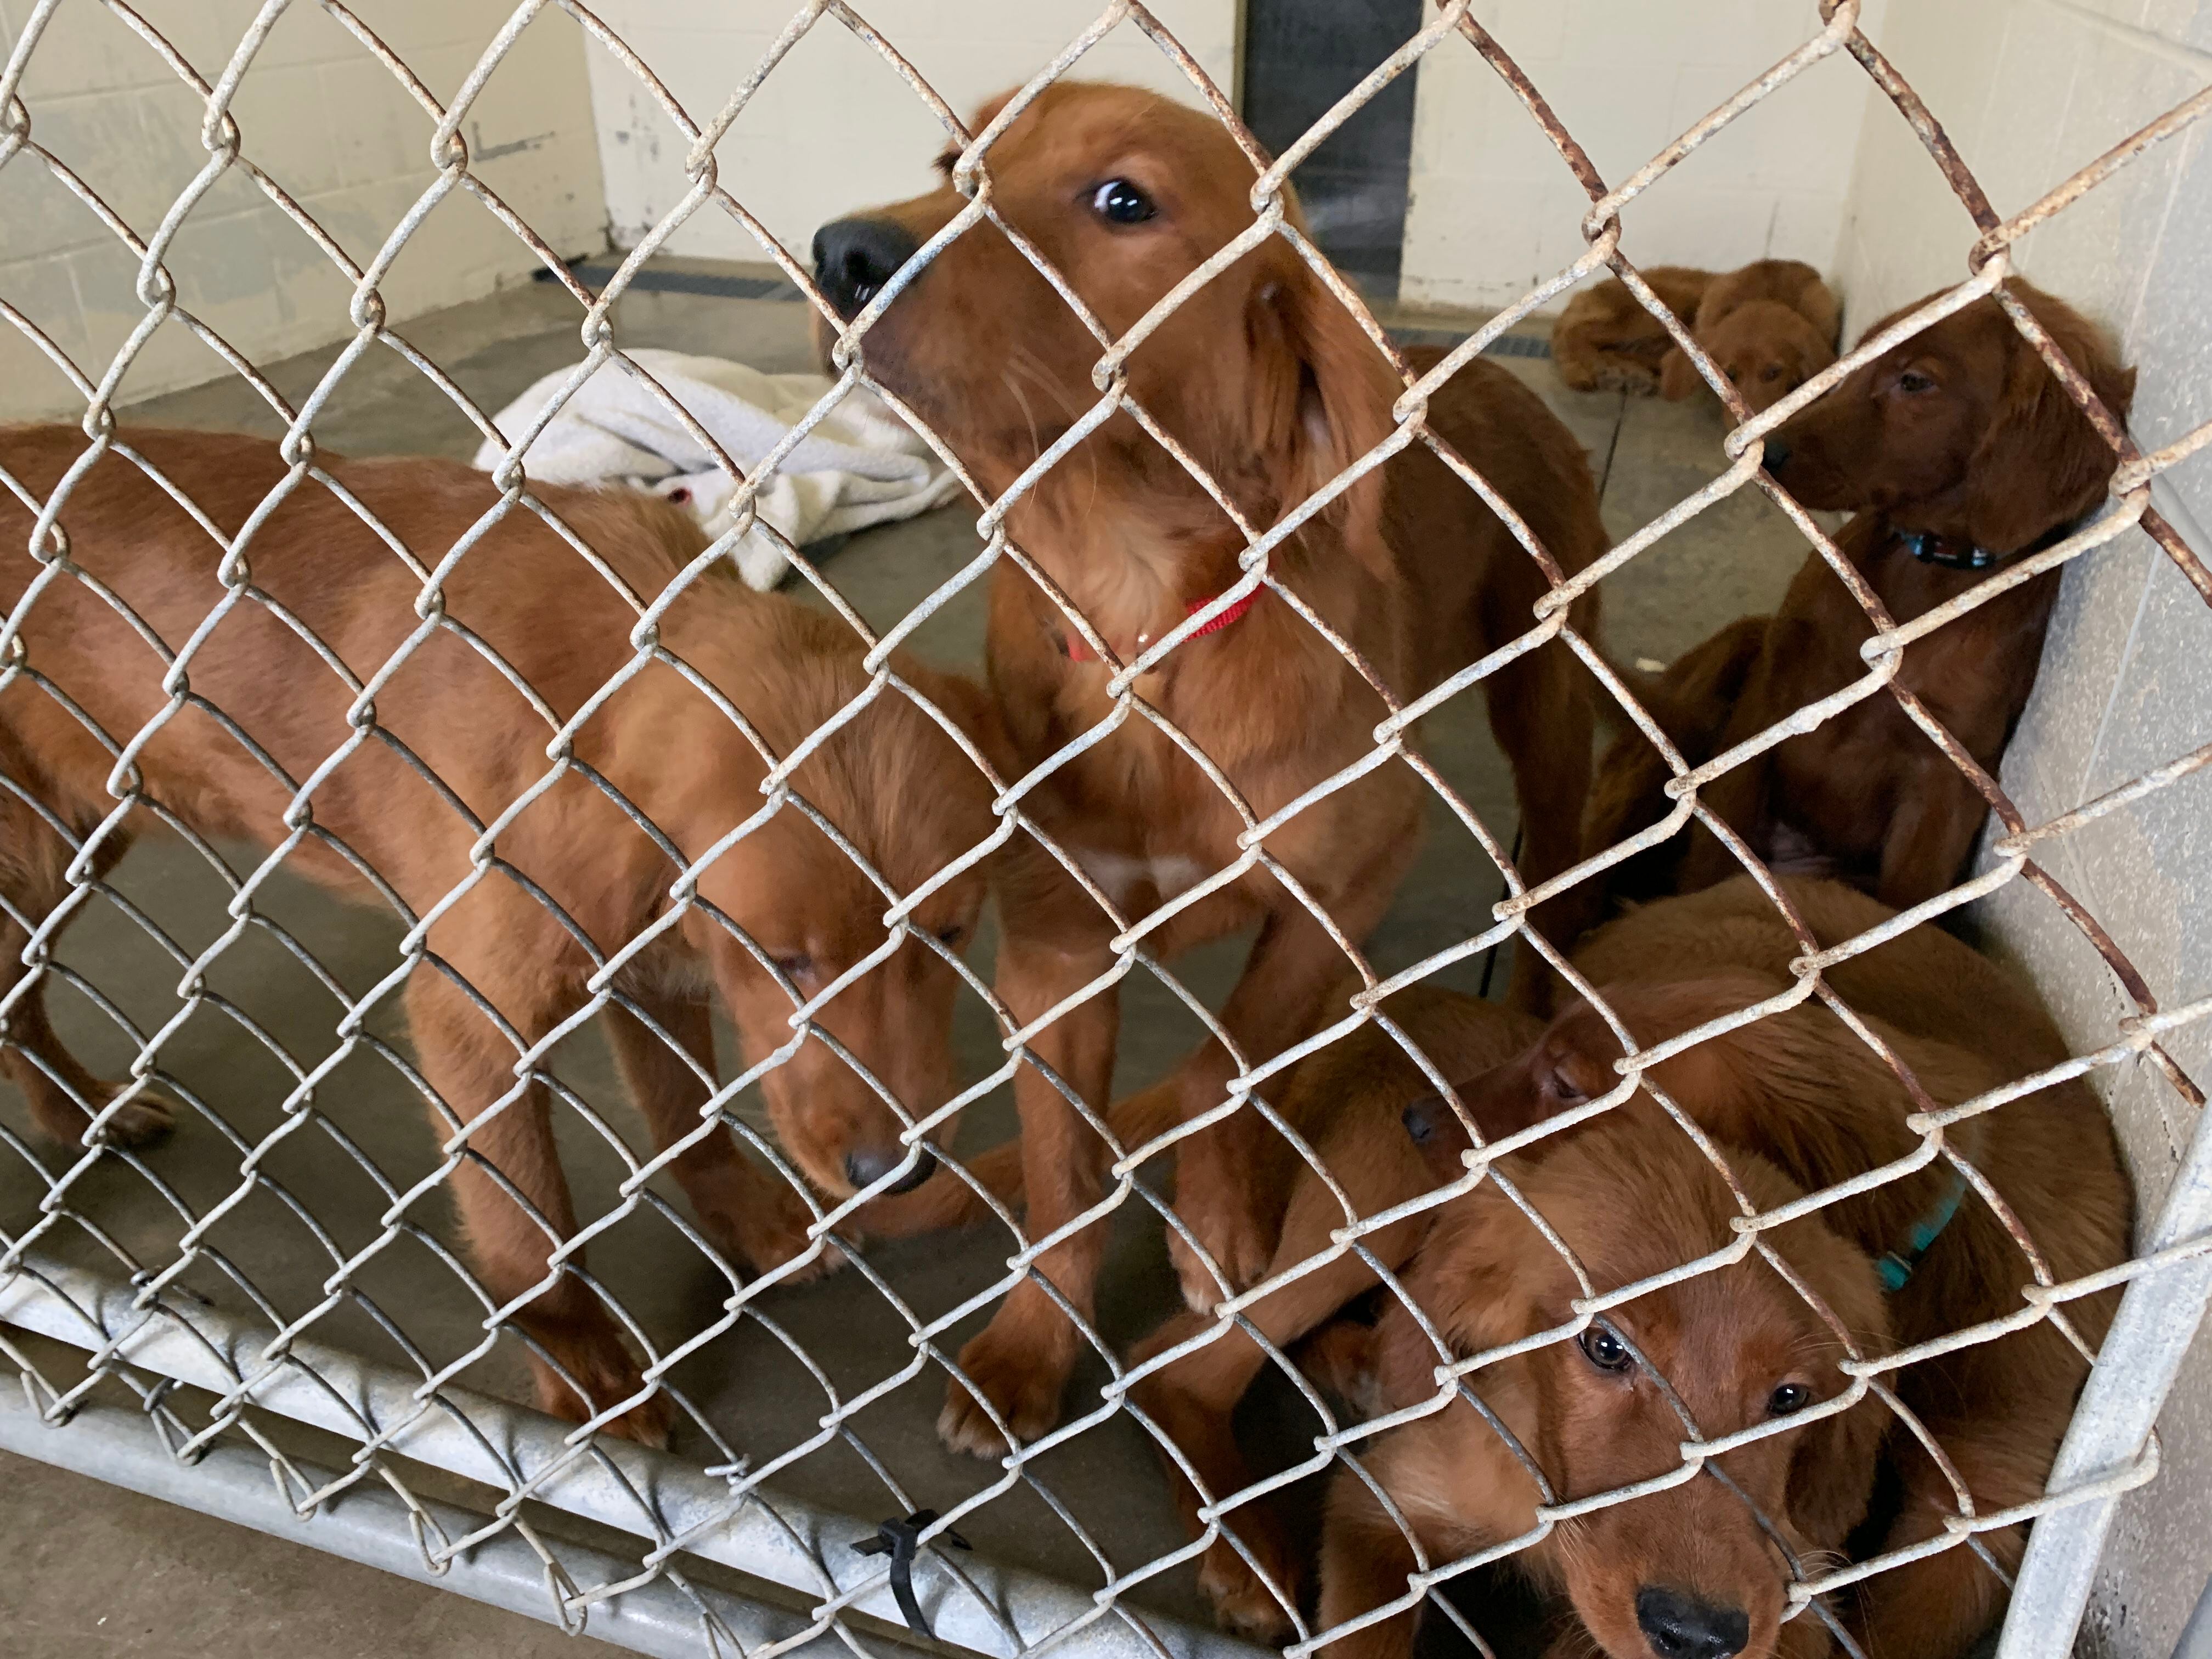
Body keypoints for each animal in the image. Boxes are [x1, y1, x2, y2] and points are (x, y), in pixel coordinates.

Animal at [0, 425, 1004, 1442]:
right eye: (785, 960)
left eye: (953, 934)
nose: (897, 1173)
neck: (594, 686)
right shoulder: (472, 1014)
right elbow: (530, 1228)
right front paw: (588, 1372)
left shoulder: (649, 960)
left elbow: (687, 1114)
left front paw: (749, 1221)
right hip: (35, 846)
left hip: (77, 834)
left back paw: (81, 1112)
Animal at [814, 81, 1610, 1451]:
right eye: (956, 160)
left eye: (1124, 200)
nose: (842, 253)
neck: (1148, 631)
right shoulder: (1052, 949)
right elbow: (1067, 1174)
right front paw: (1031, 1345)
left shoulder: (1350, 881)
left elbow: (1228, 1061)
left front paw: (1221, 1220)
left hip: (1549, 701)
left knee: (1551, 856)